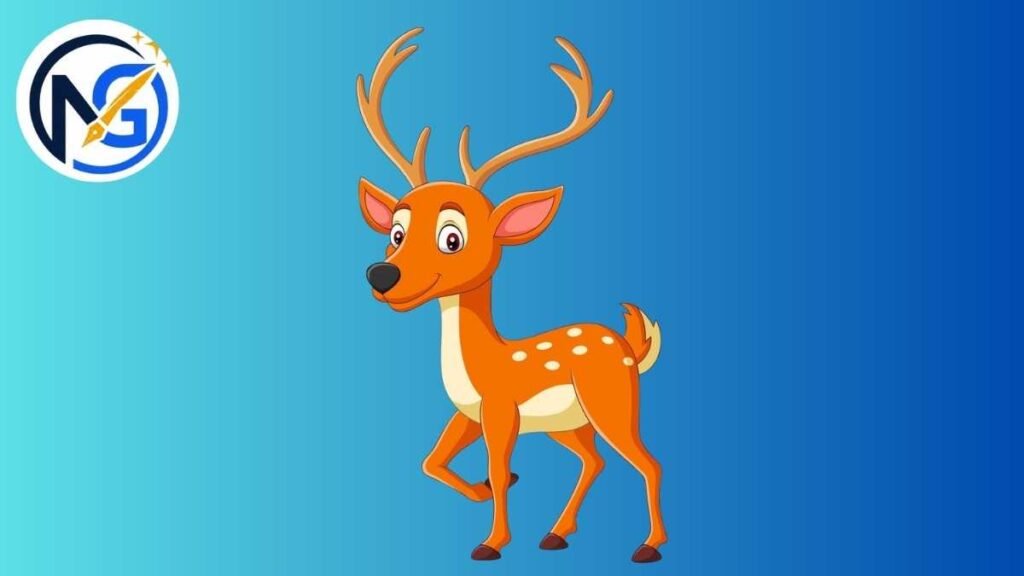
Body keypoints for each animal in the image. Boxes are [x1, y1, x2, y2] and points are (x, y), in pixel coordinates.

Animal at [355, 28, 667, 563]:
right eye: (396, 232)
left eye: (452, 238)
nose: (381, 275)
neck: (484, 363)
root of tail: (628, 346)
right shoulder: (468, 414)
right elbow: (432, 462)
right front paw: (486, 493)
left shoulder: (501, 410)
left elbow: (496, 469)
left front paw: (491, 543)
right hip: (569, 423)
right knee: (595, 461)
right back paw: (556, 534)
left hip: (612, 401)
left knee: (647, 462)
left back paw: (648, 546)